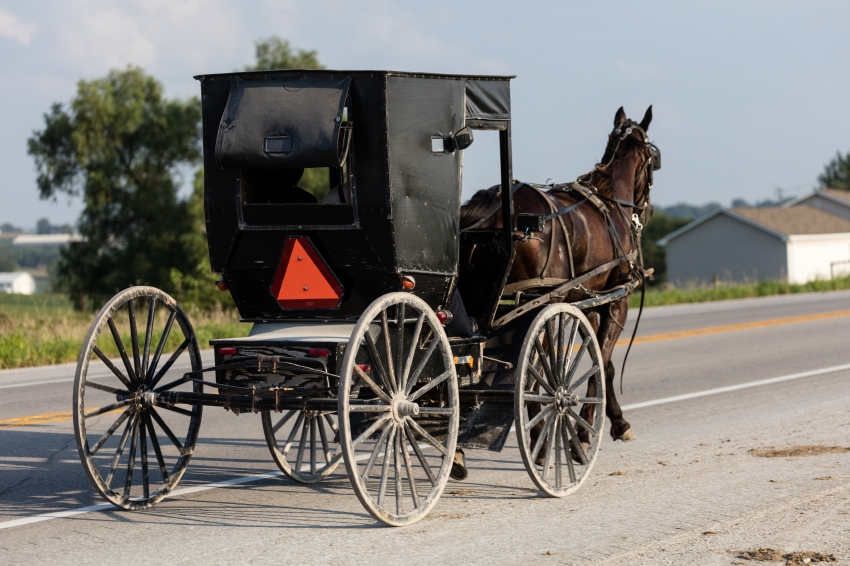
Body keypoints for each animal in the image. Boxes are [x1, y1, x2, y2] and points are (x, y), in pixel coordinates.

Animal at [458, 106, 656, 444]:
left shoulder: (587, 301)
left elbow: (601, 361)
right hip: (540, 306)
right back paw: (540, 435)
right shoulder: (616, 300)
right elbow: (603, 361)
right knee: (531, 379)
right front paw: (589, 429)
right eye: (655, 159)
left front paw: (614, 420)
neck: (611, 197)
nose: (648, 209)